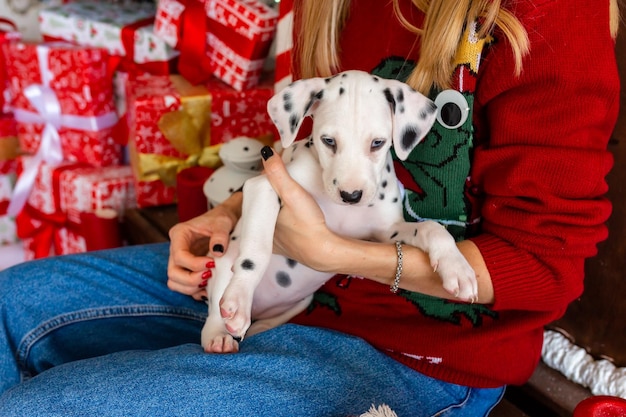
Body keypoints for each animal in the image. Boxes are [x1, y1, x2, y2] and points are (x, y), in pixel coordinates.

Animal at [202, 70, 476, 352]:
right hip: (223, 262)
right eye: (328, 141)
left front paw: (456, 266)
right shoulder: (263, 185)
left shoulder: (386, 232)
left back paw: (261, 328)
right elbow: (257, 252)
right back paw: (219, 334)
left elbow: (431, 227)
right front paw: (239, 296)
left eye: (377, 143)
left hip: (301, 301)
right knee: (214, 311)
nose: (351, 195)